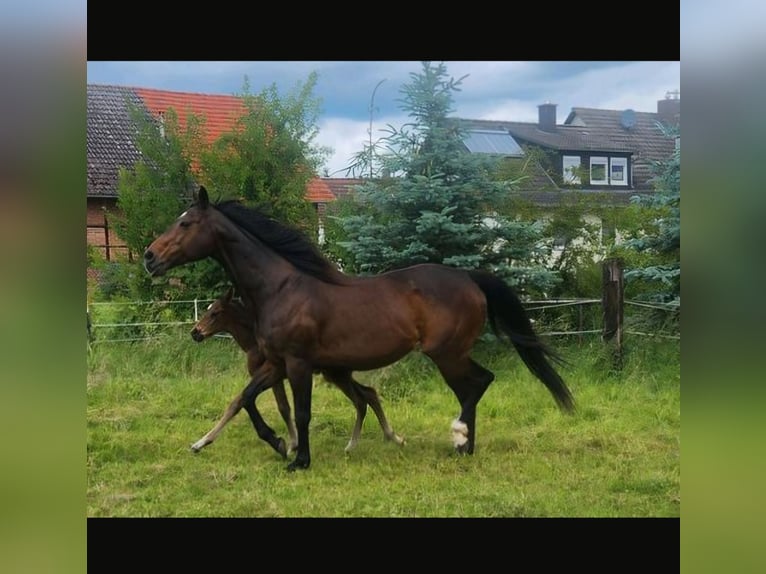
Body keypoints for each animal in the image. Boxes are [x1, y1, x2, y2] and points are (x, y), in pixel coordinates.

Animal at [190, 288, 408, 460]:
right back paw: (389, 438)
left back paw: (376, 440)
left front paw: (200, 443)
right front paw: (292, 444)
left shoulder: (272, 375)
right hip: (337, 375)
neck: (254, 342)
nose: (195, 332)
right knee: (367, 395)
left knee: (364, 397)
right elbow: (277, 406)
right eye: (208, 310)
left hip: (337, 375)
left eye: (215, 313)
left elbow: (248, 404)